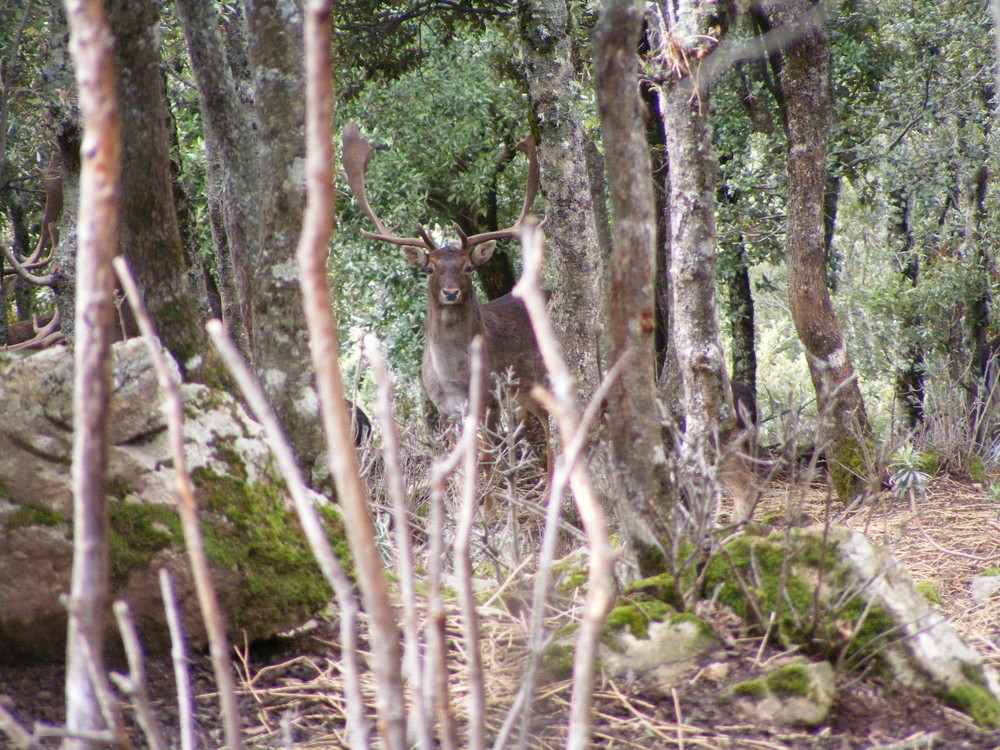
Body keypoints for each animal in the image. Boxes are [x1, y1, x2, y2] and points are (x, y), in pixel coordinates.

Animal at [340, 123, 552, 494]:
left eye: (468, 267)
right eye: (430, 268)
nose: (451, 293)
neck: (455, 376)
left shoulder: (489, 400)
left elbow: (486, 465)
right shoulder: (445, 409)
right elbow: (462, 467)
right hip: (526, 394)